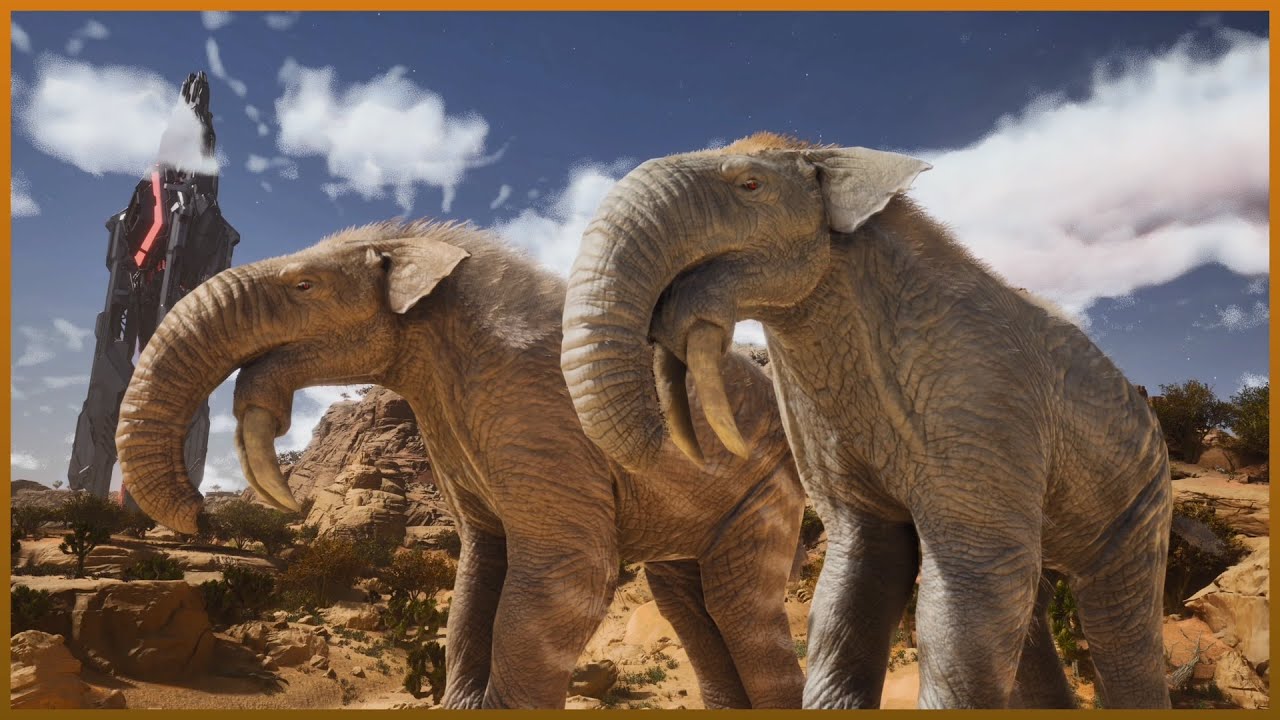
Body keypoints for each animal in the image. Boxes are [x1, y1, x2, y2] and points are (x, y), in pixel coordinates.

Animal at [114, 220, 807, 709]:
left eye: (303, 286)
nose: (200, 514)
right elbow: (478, 572)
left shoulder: (542, 417)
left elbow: (569, 570)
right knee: (689, 604)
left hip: (768, 492)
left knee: (738, 609)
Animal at [560, 132, 1172, 709]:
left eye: (750, 185)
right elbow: (855, 575)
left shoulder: (984, 401)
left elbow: (971, 585)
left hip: (1142, 496)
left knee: (1118, 626)